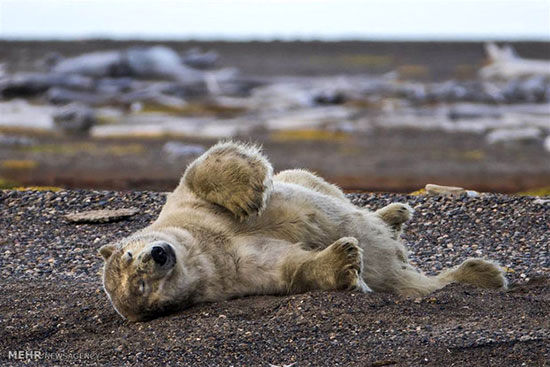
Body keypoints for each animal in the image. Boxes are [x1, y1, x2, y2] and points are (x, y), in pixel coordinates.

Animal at [100, 141, 508, 322]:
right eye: (140, 287)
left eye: (129, 254)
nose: (158, 255)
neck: (203, 248)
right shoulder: (236, 274)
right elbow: (289, 268)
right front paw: (344, 261)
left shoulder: (184, 212)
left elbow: (198, 174)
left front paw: (247, 193)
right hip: (405, 281)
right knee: (419, 283)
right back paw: (483, 274)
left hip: (308, 180)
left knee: (316, 183)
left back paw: (394, 213)